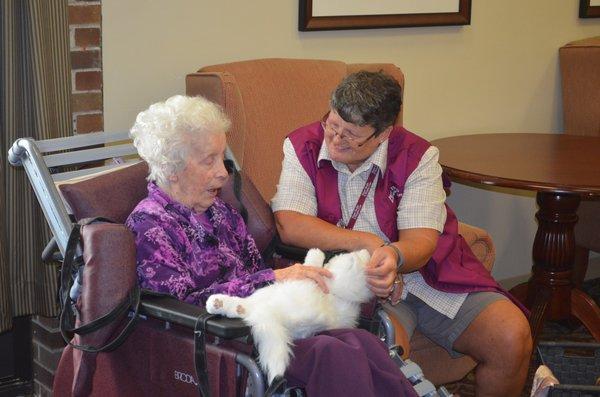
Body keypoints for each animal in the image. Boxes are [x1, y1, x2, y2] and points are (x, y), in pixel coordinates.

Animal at [206, 248, 376, 380]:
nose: (367, 251)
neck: (336, 293)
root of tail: (268, 314)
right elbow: (312, 264)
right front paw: (318, 253)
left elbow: (312, 263)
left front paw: (316, 253)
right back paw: (216, 303)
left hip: (262, 305)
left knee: (241, 307)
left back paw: (218, 303)